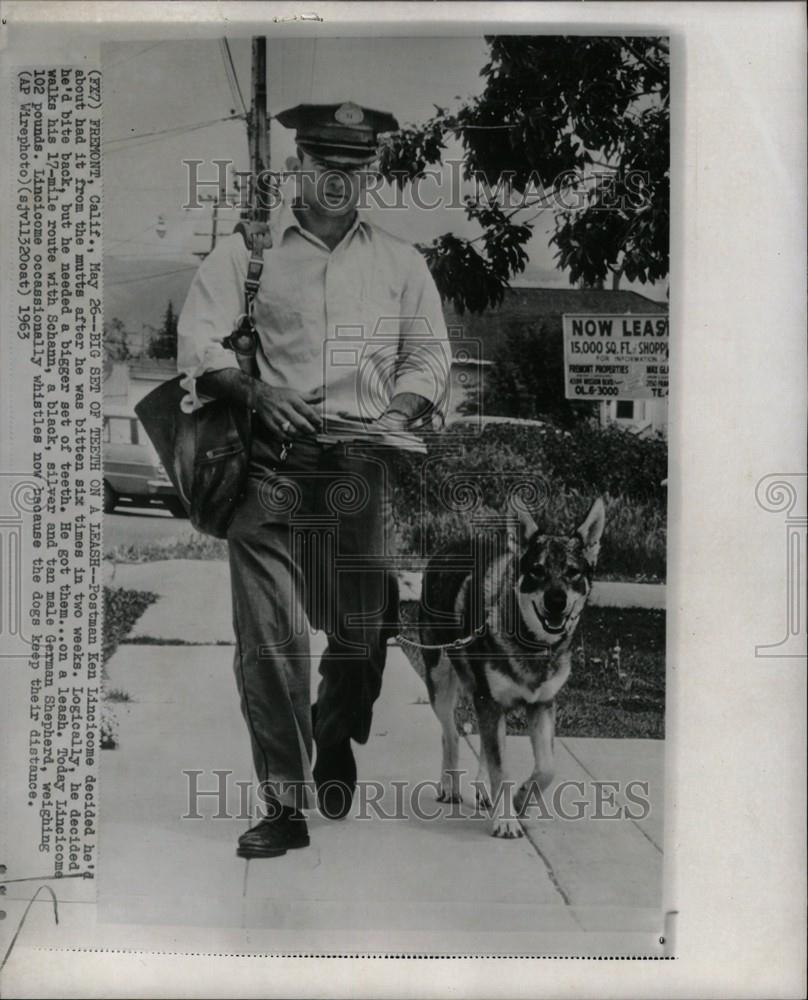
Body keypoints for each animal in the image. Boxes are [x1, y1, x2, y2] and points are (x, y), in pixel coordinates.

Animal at [420, 498, 604, 836]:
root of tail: (452, 543)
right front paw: (506, 819)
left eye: (573, 572)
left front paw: (519, 801)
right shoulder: (490, 702)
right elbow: (501, 768)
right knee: (451, 735)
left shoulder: (542, 704)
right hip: (440, 683)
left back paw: (482, 790)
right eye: (537, 570)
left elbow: (546, 769)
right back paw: (449, 785)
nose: (556, 601)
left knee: (480, 742)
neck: (531, 645)